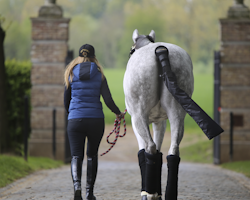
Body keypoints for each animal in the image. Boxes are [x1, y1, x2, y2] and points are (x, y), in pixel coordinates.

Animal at [124, 29, 194, 200]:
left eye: (131, 50)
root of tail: (161, 51)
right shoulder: (160, 122)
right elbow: (159, 152)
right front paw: (157, 192)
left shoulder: (137, 122)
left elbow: (143, 151)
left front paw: (149, 192)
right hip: (177, 115)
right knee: (173, 151)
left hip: (139, 117)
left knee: (150, 148)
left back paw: (148, 193)